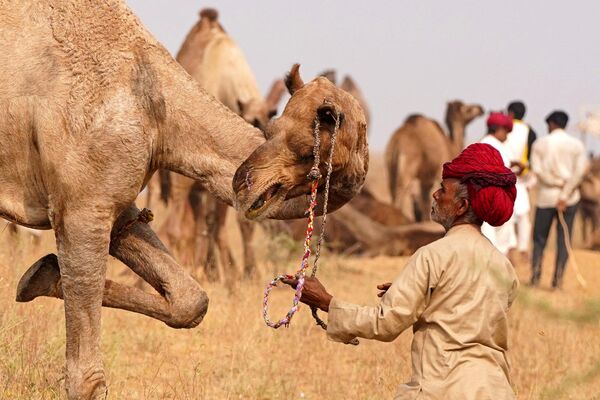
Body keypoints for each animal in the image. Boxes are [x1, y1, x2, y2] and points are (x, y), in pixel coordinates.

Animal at [0, 1, 368, 398]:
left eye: (302, 145)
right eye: (273, 132)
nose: (244, 181)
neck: (156, 107)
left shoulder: (113, 200)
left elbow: (191, 300)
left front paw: (38, 276)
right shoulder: (82, 204)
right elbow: (87, 378)